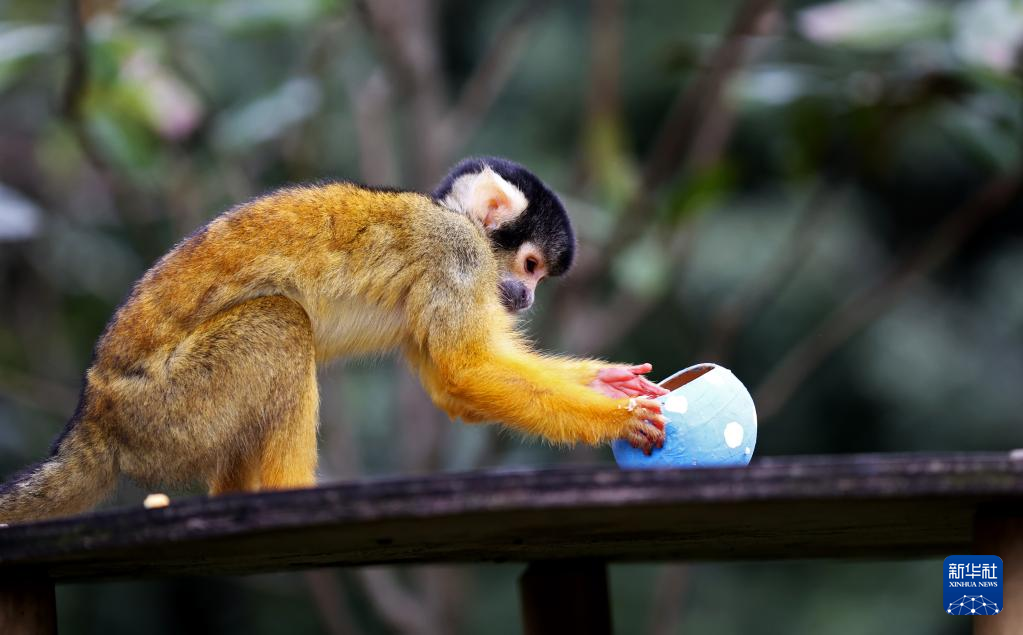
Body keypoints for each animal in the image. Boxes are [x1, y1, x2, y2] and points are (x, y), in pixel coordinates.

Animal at [0, 157, 668, 524]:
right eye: (529, 267)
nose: (527, 298)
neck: (454, 221)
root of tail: (93, 415)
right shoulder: (455, 258)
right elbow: (466, 372)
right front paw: (616, 415)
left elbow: (451, 384)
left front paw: (607, 382)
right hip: (168, 410)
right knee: (278, 323)